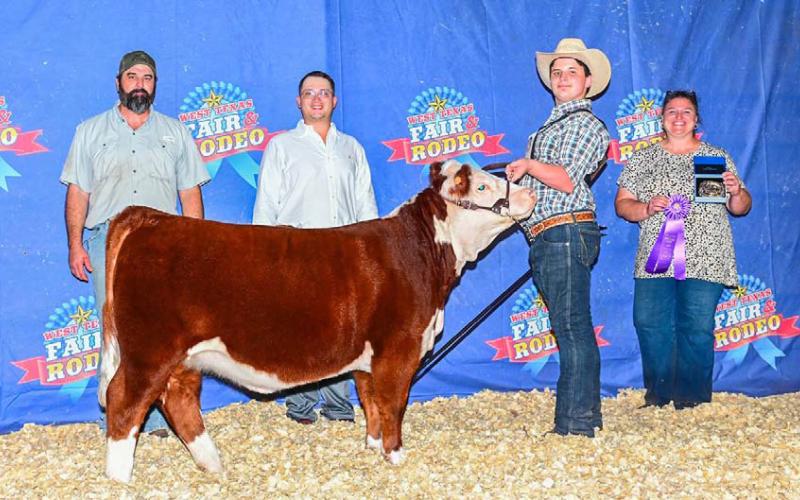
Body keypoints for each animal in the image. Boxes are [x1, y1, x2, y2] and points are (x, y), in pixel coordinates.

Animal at [98, 159, 536, 483]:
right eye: (482, 187)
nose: (529, 191)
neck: (422, 254)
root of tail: (151, 218)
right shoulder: (399, 347)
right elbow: (394, 402)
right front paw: (395, 455)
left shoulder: (368, 357)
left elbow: (371, 401)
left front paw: (372, 447)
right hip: (150, 350)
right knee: (125, 401)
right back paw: (120, 480)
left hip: (182, 357)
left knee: (178, 399)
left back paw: (213, 464)